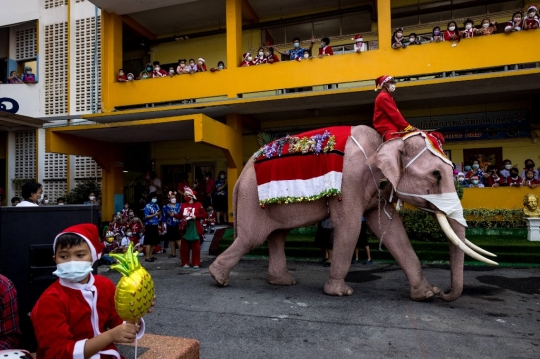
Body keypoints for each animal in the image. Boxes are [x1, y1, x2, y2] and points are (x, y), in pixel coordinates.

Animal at [209, 125, 496, 302]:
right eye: (436, 175)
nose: (444, 293)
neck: (385, 142)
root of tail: (239, 176)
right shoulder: (351, 180)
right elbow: (349, 226)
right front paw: (340, 292)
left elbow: (393, 232)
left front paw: (425, 294)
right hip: (251, 199)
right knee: (251, 238)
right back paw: (218, 278)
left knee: (277, 235)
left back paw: (282, 282)